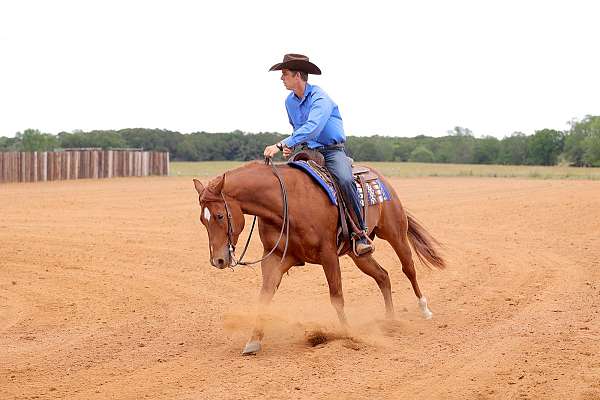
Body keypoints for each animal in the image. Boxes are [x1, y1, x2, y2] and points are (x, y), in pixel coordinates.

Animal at [192, 159, 446, 354]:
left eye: (219, 215)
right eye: (202, 219)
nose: (218, 260)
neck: (287, 203)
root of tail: (378, 176)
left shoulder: (328, 255)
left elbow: (336, 296)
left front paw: (348, 334)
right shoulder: (275, 259)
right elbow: (264, 297)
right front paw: (253, 341)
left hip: (396, 233)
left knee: (408, 268)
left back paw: (424, 309)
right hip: (358, 253)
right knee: (383, 276)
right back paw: (391, 321)